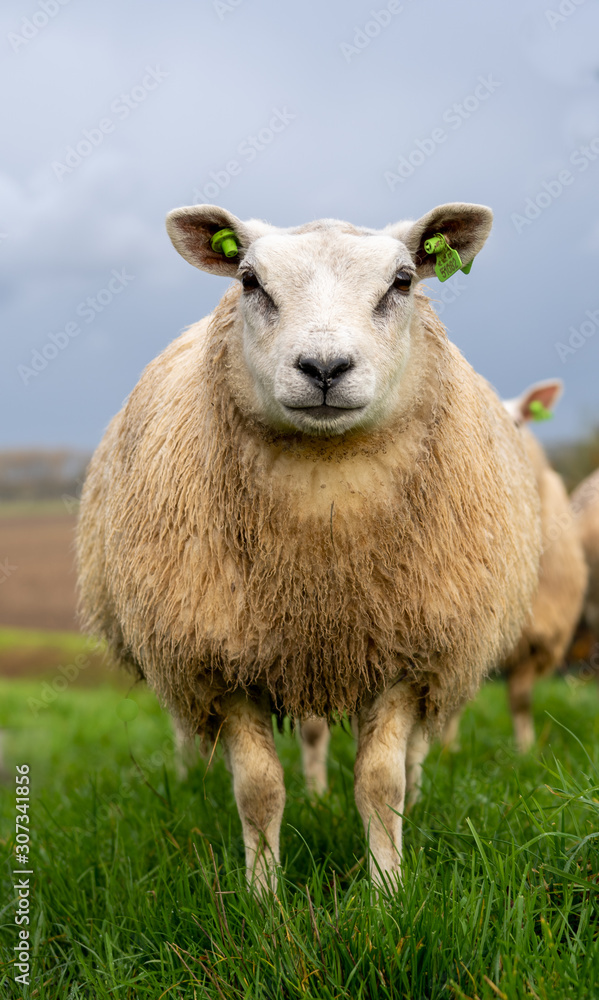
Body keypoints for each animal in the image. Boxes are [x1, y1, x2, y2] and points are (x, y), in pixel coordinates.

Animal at [76, 202, 541, 891]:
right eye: (250, 281)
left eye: (403, 281)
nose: (324, 368)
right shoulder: (221, 659)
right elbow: (258, 790)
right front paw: (262, 896)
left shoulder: (407, 653)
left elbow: (381, 784)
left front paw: (387, 891)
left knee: (414, 750)